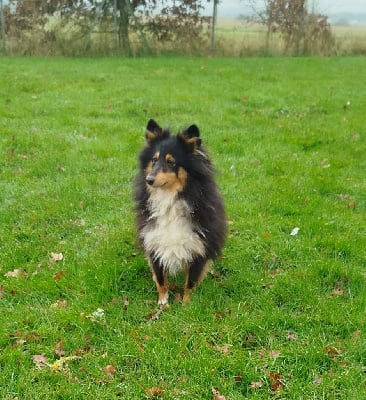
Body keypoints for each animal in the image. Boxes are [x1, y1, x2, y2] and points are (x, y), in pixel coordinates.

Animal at [134, 120, 226, 304]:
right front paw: (163, 304)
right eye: (154, 160)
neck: (169, 199)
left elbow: (190, 282)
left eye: (171, 162)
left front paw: (186, 305)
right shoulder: (153, 241)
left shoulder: (199, 247)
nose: (149, 180)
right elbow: (161, 279)